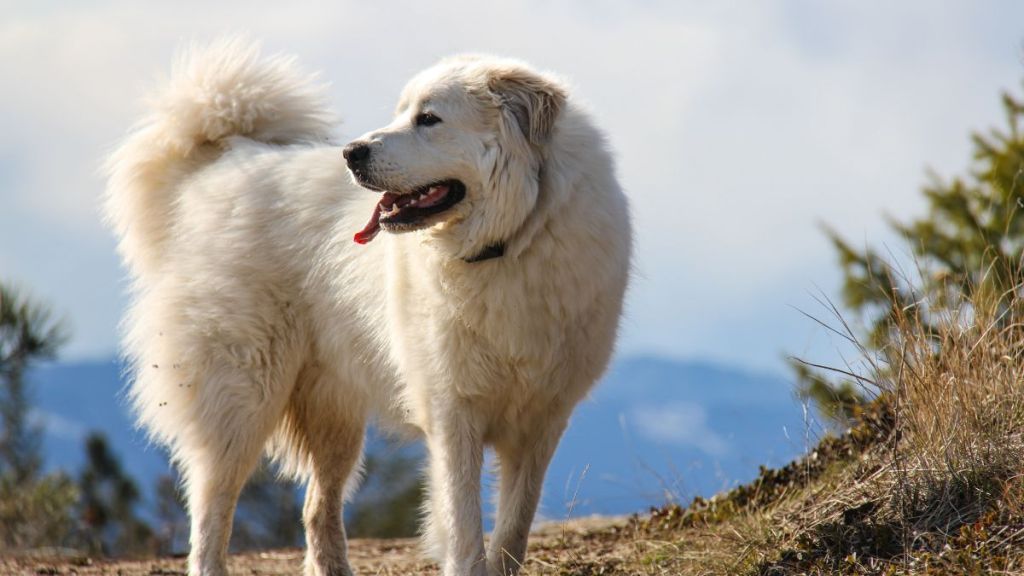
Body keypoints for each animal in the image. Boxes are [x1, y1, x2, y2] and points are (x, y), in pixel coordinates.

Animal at [105, 40, 630, 573]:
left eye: (428, 119)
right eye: (401, 113)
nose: (351, 153)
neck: (509, 241)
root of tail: (223, 163)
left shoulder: (541, 420)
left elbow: (513, 526)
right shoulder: (452, 413)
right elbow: (463, 524)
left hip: (334, 416)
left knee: (317, 507)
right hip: (242, 396)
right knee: (212, 510)